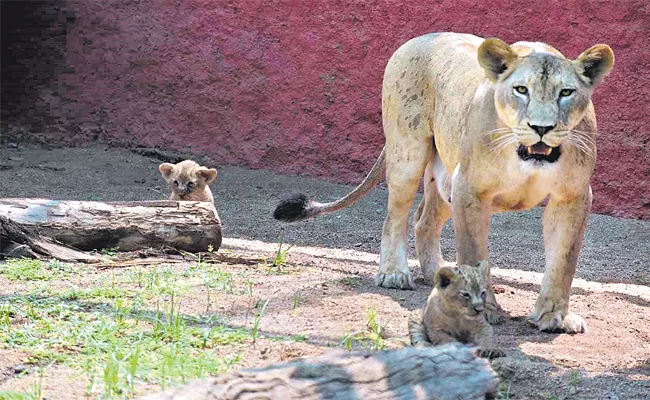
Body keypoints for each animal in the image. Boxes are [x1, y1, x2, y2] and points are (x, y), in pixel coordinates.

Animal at [274, 31, 612, 332]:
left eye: (565, 92)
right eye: (521, 90)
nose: (541, 128)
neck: (526, 157)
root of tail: (420, 38)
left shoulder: (572, 195)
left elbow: (563, 260)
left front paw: (554, 317)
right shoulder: (470, 188)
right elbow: (474, 251)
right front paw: (487, 310)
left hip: (446, 181)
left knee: (424, 220)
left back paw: (440, 275)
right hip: (408, 154)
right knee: (394, 217)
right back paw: (394, 274)